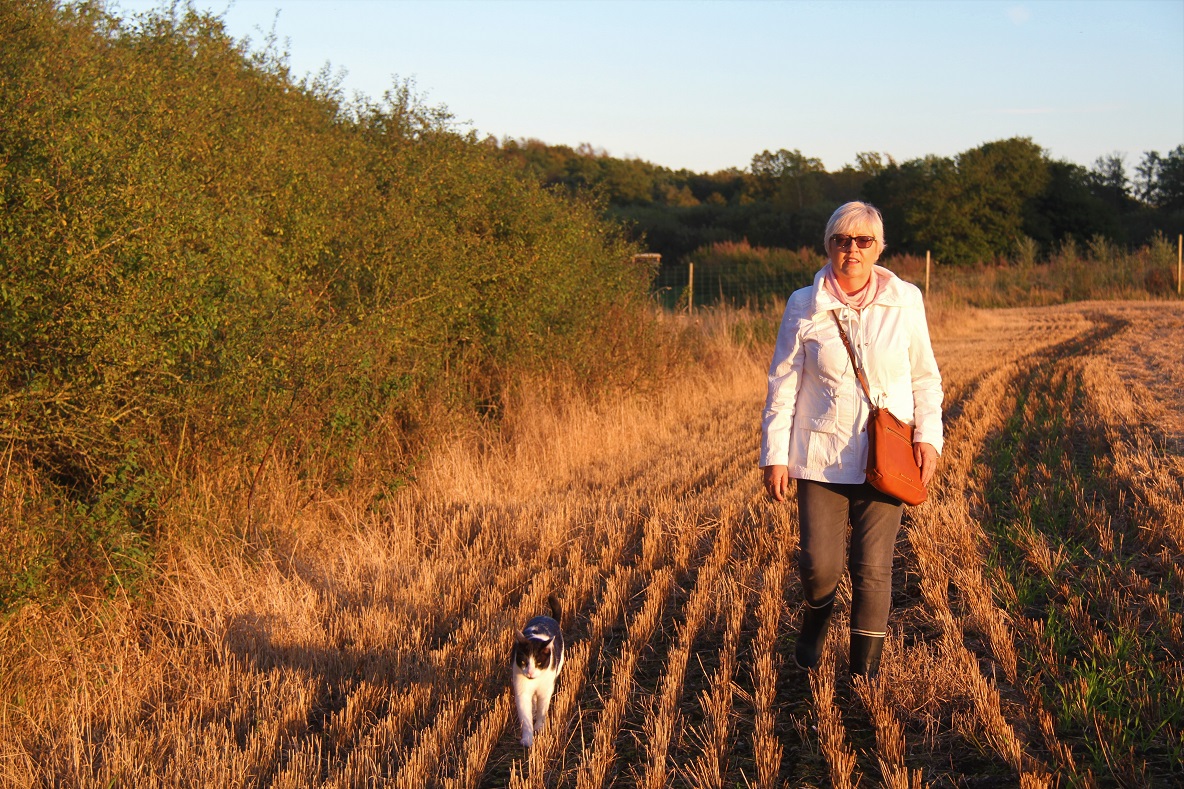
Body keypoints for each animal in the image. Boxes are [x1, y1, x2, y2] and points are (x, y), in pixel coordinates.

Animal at [511, 594, 565, 747]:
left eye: (539, 663)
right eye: (523, 662)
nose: (529, 673)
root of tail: (547, 617)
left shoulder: (545, 690)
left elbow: (542, 710)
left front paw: (539, 728)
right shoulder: (521, 690)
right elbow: (525, 716)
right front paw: (527, 739)